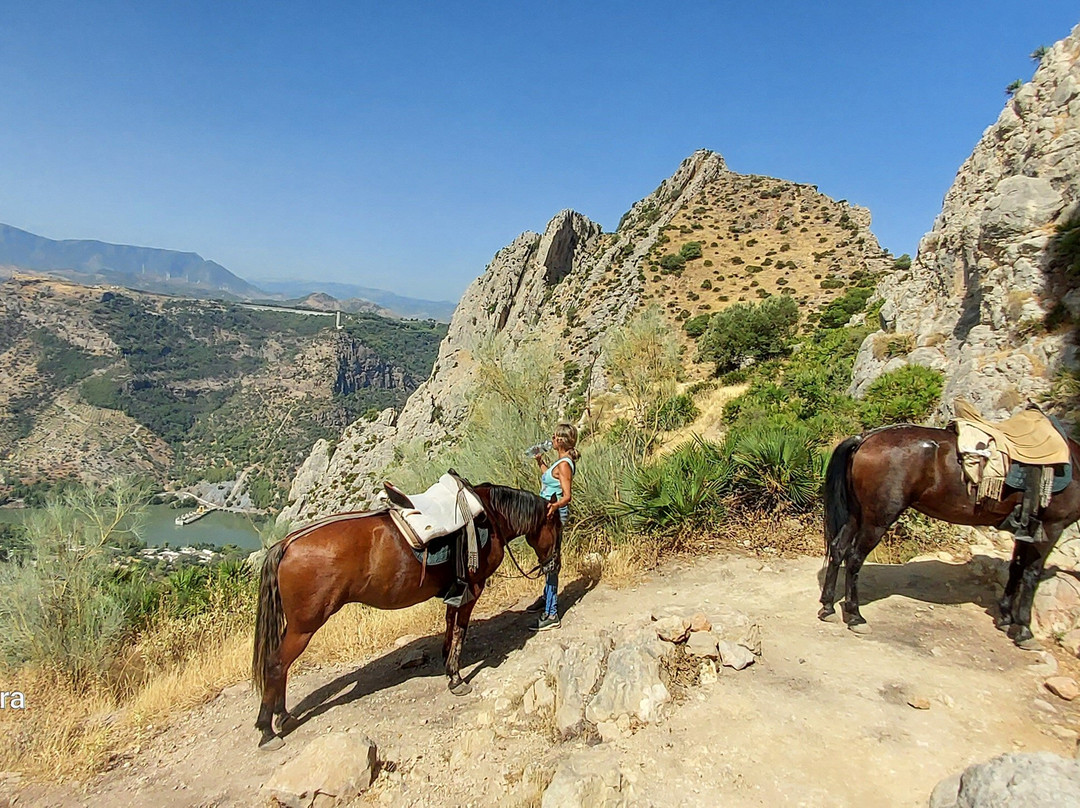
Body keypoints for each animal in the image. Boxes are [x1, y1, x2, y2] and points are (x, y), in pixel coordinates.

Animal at [251, 482, 560, 750]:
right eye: (556, 525)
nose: (554, 565)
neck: (490, 516)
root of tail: (286, 543)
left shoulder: (456, 590)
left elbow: (450, 622)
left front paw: (446, 659)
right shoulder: (472, 588)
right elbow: (460, 628)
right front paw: (456, 678)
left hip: (294, 626)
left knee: (281, 666)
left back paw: (283, 716)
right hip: (304, 627)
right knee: (276, 664)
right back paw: (267, 731)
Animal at [819, 424, 1080, 648]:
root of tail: (865, 438)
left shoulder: (1025, 531)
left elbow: (1016, 570)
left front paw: (1006, 617)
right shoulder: (1051, 527)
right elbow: (1031, 575)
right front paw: (1024, 630)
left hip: (857, 514)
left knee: (838, 549)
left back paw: (828, 607)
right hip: (878, 518)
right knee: (854, 558)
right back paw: (855, 616)